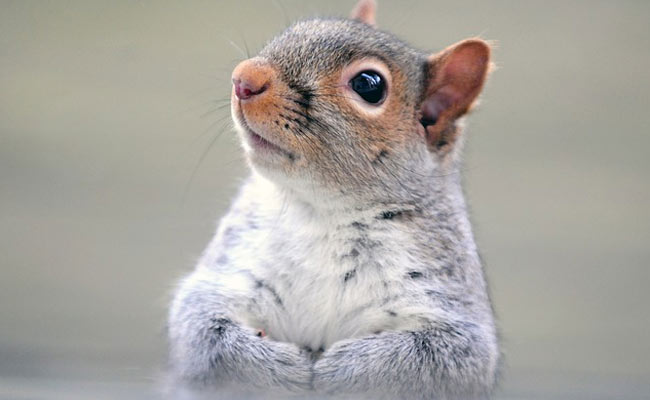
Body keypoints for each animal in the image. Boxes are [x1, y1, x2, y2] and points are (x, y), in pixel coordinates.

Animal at [168, 1, 499, 399]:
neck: (323, 211)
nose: (244, 78)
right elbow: (201, 329)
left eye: (368, 85)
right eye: (295, 29)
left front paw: (345, 370)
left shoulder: (449, 303)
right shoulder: (229, 271)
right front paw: (278, 368)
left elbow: (438, 359)